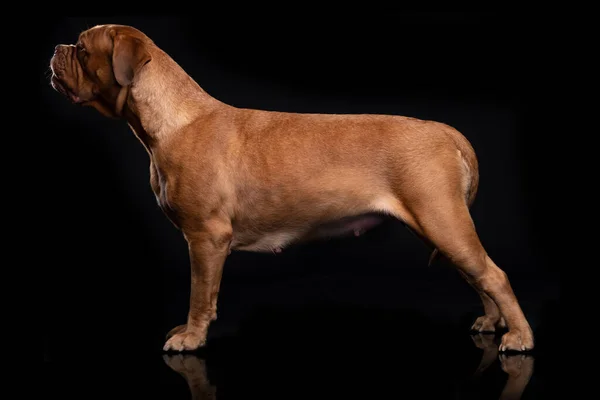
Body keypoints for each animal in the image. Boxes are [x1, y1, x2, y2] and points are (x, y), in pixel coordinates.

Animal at [48, 23, 536, 352]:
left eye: (82, 48)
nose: (56, 48)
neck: (171, 119)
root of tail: (447, 132)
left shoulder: (206, 238)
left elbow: (200, 296)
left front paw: (191, 337)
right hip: (440, 226)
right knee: (477, 275)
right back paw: (491, 322)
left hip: (441, 219)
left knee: (494, 275)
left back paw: (519, 336)